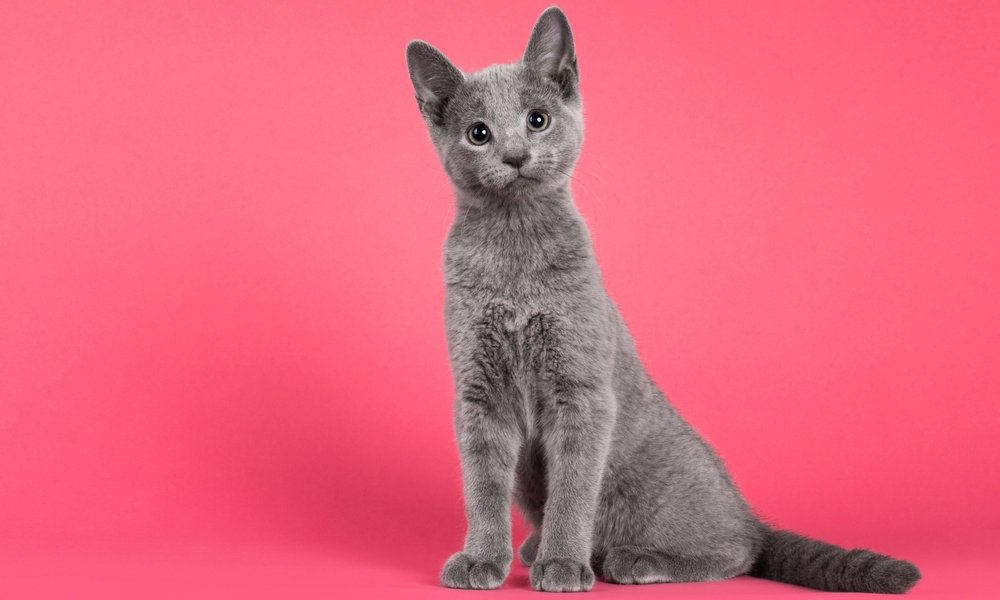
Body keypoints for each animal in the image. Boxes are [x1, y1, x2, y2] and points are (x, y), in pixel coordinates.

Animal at [402, 5, 916, 596]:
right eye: (478, 134)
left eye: (537, 119)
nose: (514, 155)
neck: (515, 251)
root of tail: (748, 513)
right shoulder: (478, 394)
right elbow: (482, 485)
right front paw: (482, 558)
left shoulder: (582, 391)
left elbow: (573, 488)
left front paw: (564, 564)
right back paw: (535, 549)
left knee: (737, 553)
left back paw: (630, 559)